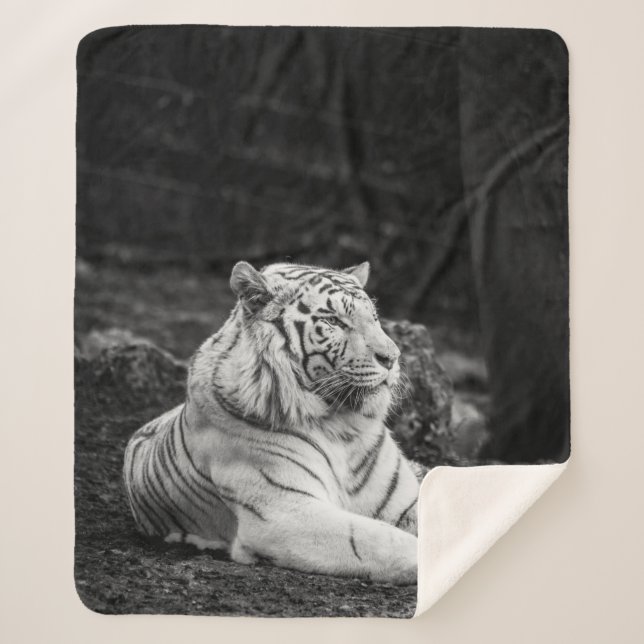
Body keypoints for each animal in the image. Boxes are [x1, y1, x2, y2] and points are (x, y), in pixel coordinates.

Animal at [123, 261, 422, 584]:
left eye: (375, 318)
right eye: (333, 321)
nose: (392, 357)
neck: (342, 426)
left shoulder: (403, 501)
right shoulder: (285, 512)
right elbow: (381, 540)